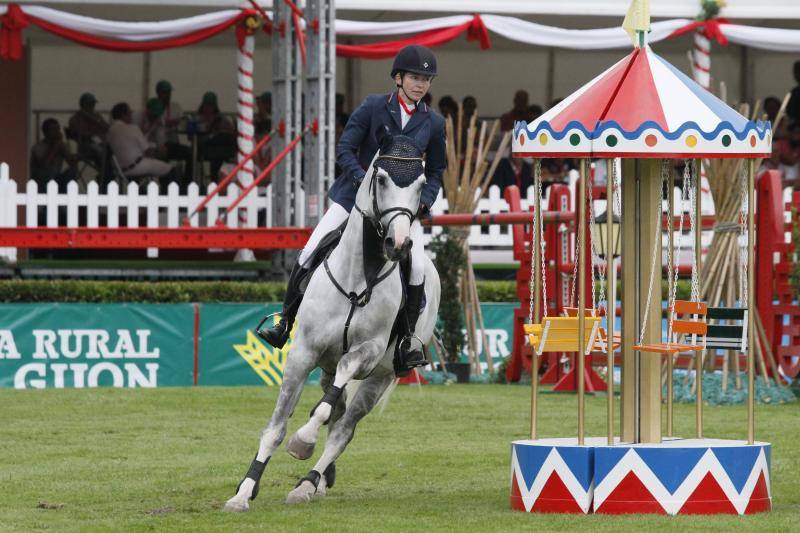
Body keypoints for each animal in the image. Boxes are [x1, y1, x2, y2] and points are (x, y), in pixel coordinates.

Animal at [222, 131, 440, 510]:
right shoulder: (304, 352)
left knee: (341, 428)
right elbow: (276, 427)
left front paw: (303, 441)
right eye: (381, 179)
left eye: (422, 184)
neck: (359, 276)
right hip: (326, 364)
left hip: (379, 377)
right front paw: (244, 491)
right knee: (334, 402)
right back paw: (320, 479)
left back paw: (308, 483)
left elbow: (326, 410)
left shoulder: (367, 353)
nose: (399, 244)